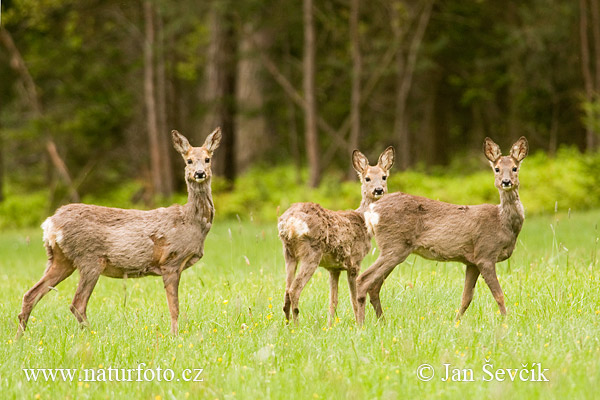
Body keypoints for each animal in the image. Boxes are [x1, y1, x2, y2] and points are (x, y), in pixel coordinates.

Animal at [17, 128, 223, 338]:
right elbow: (174, 307)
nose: (199, 173)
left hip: (61, 259)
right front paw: (174, 336)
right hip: (89, 259)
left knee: (30, 294)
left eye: (207, 159)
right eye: (188, 160)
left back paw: (19, 338)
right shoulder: (171, 261)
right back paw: (93, 334)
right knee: (77, 303)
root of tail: (50, 224)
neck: (190, 221)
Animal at [278, 147, 396, 324]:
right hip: (311, 253)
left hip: (289, 254)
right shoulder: (354, 262)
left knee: (286, 291)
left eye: (384, 176)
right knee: (294, 290)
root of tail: (288, 223)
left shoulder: (333, 268)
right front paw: (359, 324)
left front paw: (330, 325)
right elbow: (354, 298)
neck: (363, 221)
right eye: (367, 178)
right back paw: (297, 325)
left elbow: (333, 300)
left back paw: (288, 325)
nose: (378, 190)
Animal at [354, 136, 528, 324]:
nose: (506, 182)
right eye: (497, 169)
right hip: (395, 245)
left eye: (515, 168)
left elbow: (466, 298)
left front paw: (456, 322)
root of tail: (372, 212)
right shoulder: (485, 254)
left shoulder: (472, 262)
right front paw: (506, 322)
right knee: (363, 280)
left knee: (374, 285)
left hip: (393, 248)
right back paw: (361, 324)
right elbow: (499, 295)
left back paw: (381, 322)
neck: (502, 222)